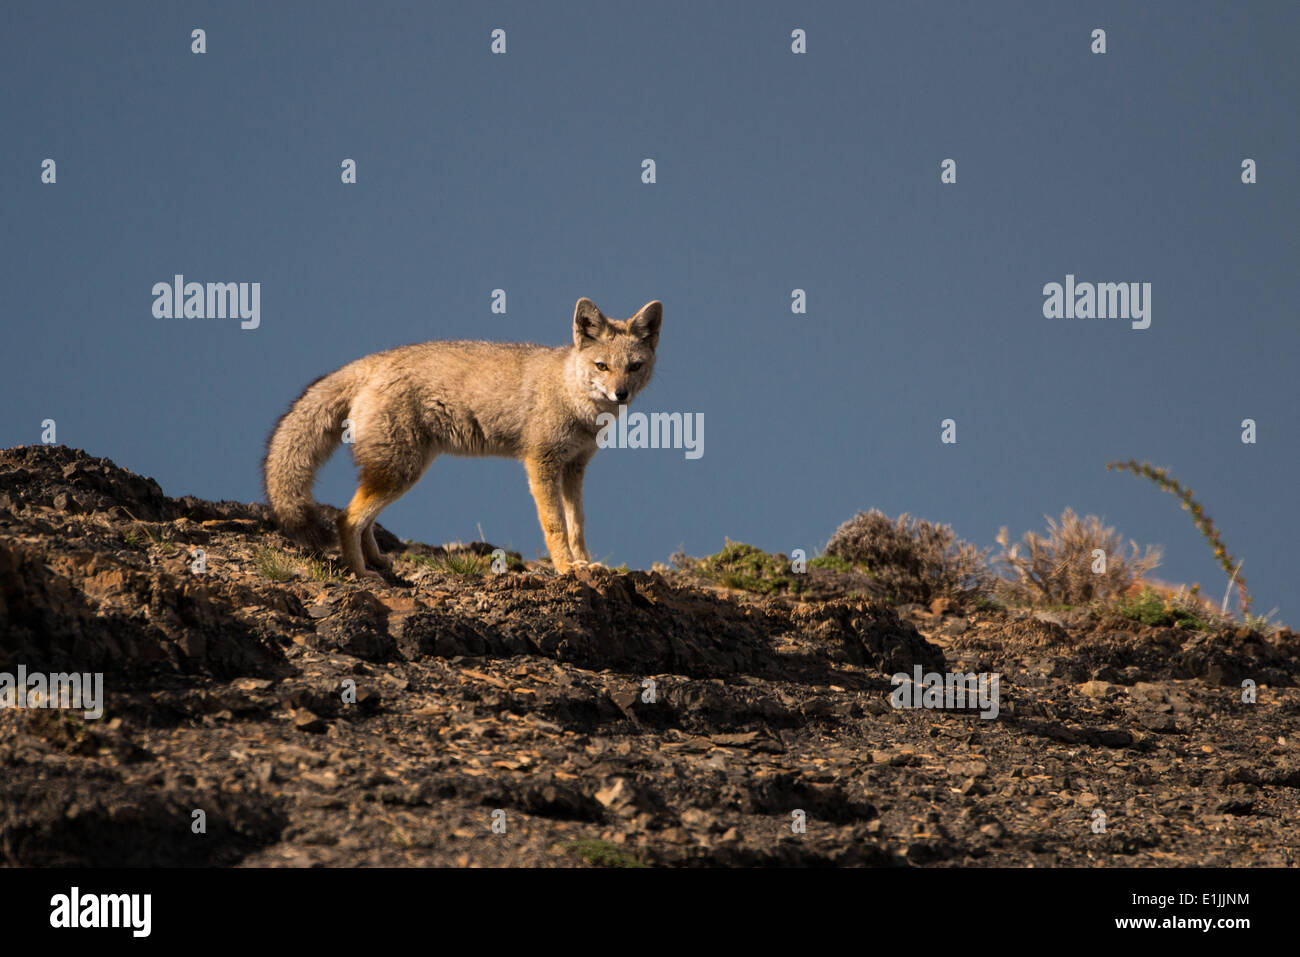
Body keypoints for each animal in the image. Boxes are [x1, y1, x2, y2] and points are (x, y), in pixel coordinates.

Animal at [261, 299, 660, 579]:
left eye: (634, 367)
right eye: (602, 367)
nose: (621, 394)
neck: (571, 395)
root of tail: (372, 361)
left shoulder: (574, 468)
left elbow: (577, 527)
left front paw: (586, 564)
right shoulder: (541, 463)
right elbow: (555, 527)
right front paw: (566, 569)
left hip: (398, 472)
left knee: (363, 519)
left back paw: (376, 561)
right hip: (399, 471)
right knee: (347, 518)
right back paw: (359, 574)